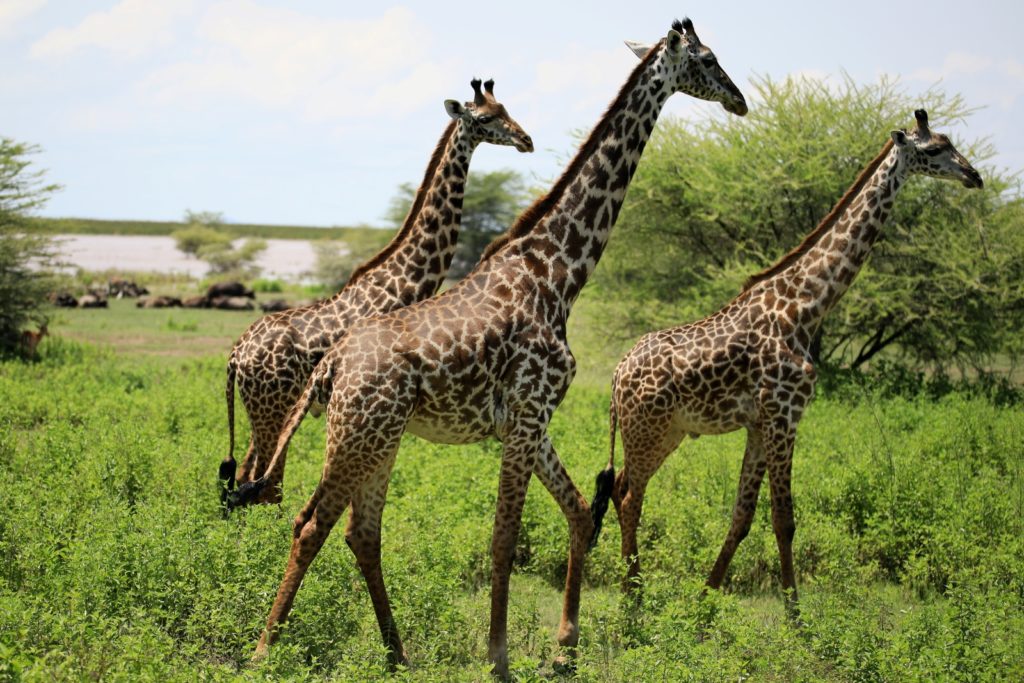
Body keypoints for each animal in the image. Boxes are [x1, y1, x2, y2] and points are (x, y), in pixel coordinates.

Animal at [218, 81, 536, 507]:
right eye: (486, 117)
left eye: (507, 109)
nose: (526, 140)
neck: (402, 280)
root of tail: (236, 355)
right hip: (271, 409)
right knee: (259, 483)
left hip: (263, 410)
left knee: (244, 480)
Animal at [589, 108, 987, 614]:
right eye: (935, 149)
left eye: (951, 143)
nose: (974, 176)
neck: (806, 305)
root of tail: (616, 378)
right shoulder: (785, 414)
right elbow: (784, 519)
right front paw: (796, 618)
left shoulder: (761, 424)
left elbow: (742, 516)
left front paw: (704, 603)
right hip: (647, 429)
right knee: (628, 497)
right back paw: (632, 601)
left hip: (669, 431)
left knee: (621, 489)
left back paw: (636, 591)